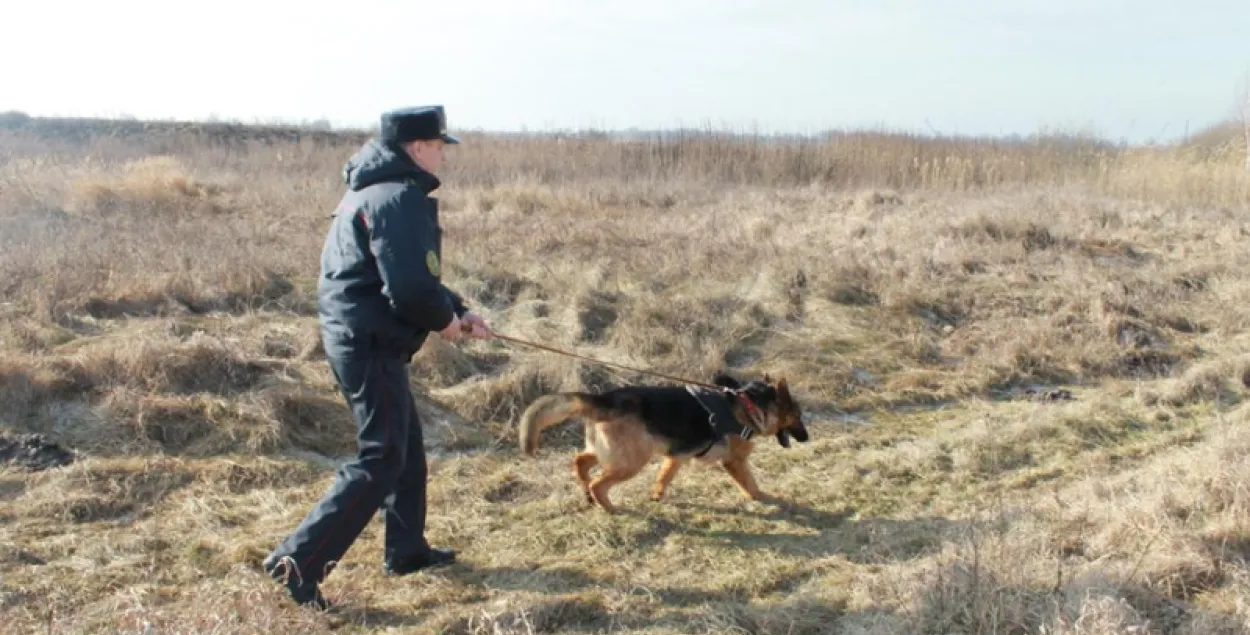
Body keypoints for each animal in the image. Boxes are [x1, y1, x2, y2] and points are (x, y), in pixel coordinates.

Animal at [517, 375, 810, 512]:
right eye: (798, 416)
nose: (807, 438)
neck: (749, 405)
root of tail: (605, 399)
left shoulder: (674, 457)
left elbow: (664, 477)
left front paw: (657, 495)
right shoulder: (734, 461)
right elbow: (751, 485)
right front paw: (767, 498)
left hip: (616, 455)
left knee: (580, 462)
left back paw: (588, 494)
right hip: (632, 461)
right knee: (598, 483)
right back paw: (610, 508)